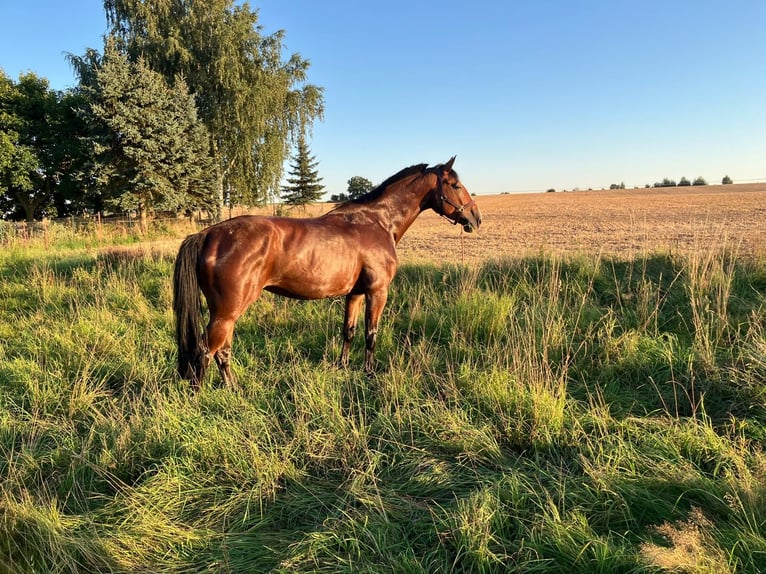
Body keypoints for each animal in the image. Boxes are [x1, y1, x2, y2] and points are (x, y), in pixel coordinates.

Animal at [172, 157, 481, 389]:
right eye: (455, 185)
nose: (475, 218)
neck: (378, 221)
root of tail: (208, 234)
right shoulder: (377, 291)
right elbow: (371, 333)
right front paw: (369, 373)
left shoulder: (355, 294)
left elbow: (349, 331)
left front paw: (342, 366)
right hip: (227, 312)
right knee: (206, 351)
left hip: (227, 314)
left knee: (222, 351)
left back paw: (234, 389)